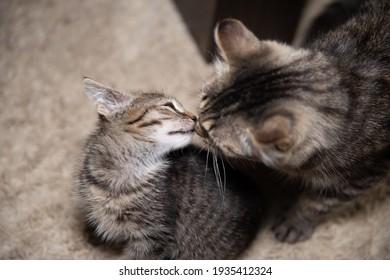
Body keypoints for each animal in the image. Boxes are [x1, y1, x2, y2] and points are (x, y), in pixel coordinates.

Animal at [195, 0, 390, 243]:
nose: (195, 125)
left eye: (211, 135)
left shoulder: (363, 175)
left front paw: (294, 222)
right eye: (200, 102)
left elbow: (318, 202)